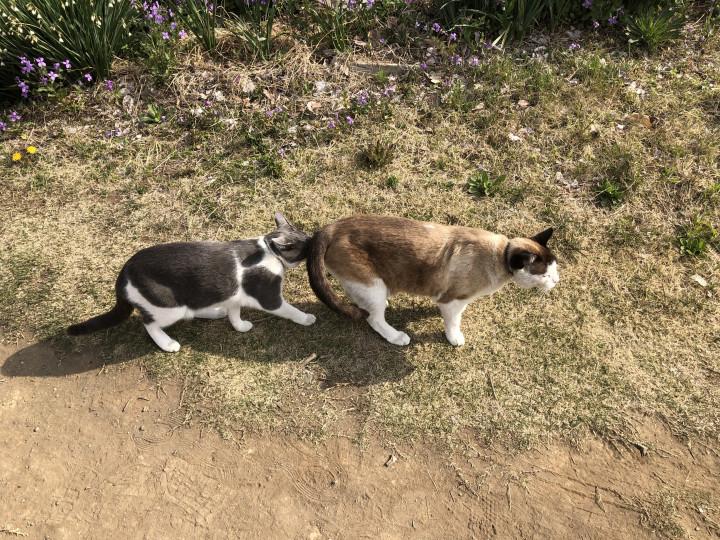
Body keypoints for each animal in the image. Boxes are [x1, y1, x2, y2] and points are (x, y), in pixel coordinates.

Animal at [68, 212, 316, 352]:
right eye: (306, 244)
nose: (313, 237)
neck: (269, 251)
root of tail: (123, 272)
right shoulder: (269, 297)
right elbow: (290, 310)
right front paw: (306, 318)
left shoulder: (234, 292)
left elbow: (234, 311)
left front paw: (239, 325)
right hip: (168, 306)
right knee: (149, 323)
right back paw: (167, 344)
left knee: (195, 309)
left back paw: (215, 312)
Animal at [307, 215, 559, 346]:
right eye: (544, 274)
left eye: (555, 267)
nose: (556, 281)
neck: (501, 254)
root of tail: (333, 227)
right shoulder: (452, 300)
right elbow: (453, 322)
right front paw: (455, 338)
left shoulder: (449, 299)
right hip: (373, 287)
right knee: (373, 319)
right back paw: (397, 336)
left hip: (367, 284)